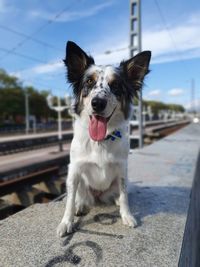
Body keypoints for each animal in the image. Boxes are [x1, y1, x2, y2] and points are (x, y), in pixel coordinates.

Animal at [56, 40, 150, 238]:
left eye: (115, 86)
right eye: (89, 82)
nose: (98, 103)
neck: (101, 140)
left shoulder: (122, 167)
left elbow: (124, 194)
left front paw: (127, 215)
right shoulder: (74, 169)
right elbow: (69, 201)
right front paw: (66, 222)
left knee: (119, 193)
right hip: (81, 184)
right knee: (80, 197)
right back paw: (81, 206)